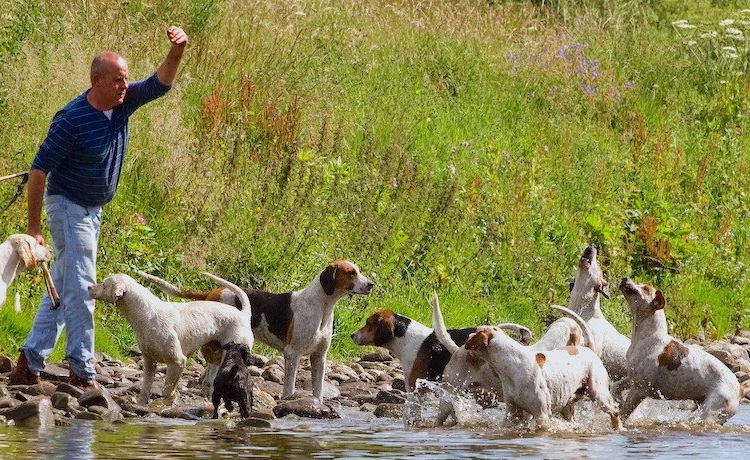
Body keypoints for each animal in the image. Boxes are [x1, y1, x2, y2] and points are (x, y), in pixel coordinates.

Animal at [88, 272, 256, 404]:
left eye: (104, 284)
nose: (89, 287)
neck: (146, 314)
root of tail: (243, 314)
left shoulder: (177, 362)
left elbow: (167, 389)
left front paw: (171, 398)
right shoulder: (149, 361)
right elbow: (145, 388)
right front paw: (142, 404)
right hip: (211, 352)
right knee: (210, 380)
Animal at [138, 260, 374, 400]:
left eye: (359, 271)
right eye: (350, 273)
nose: (372, 284)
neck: (322, 307)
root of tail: (214, 291)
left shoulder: (320, 357)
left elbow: (318, 389)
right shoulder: (293, 354)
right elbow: (289, 387)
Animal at [616, 276, 748, 424]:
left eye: (645, 288)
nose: (625, 278)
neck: (648, 337)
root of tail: (740, 389)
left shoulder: (639, 390)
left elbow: (623, 413)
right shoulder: (632, 379)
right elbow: (616, 386)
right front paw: (616, 398)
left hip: (708, 412)